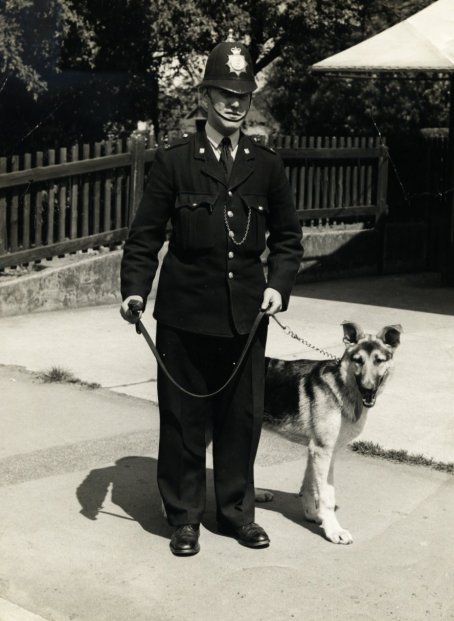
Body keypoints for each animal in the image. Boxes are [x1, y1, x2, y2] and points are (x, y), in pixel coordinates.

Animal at [258, 322, 402, 544]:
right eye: (358, 360)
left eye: (379, 360)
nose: (368, 390)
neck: (342, 385)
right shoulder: (323, 451)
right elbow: (326, 495)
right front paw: (334, 530)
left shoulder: (317, 451)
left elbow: (310, 487)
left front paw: (312, 515)